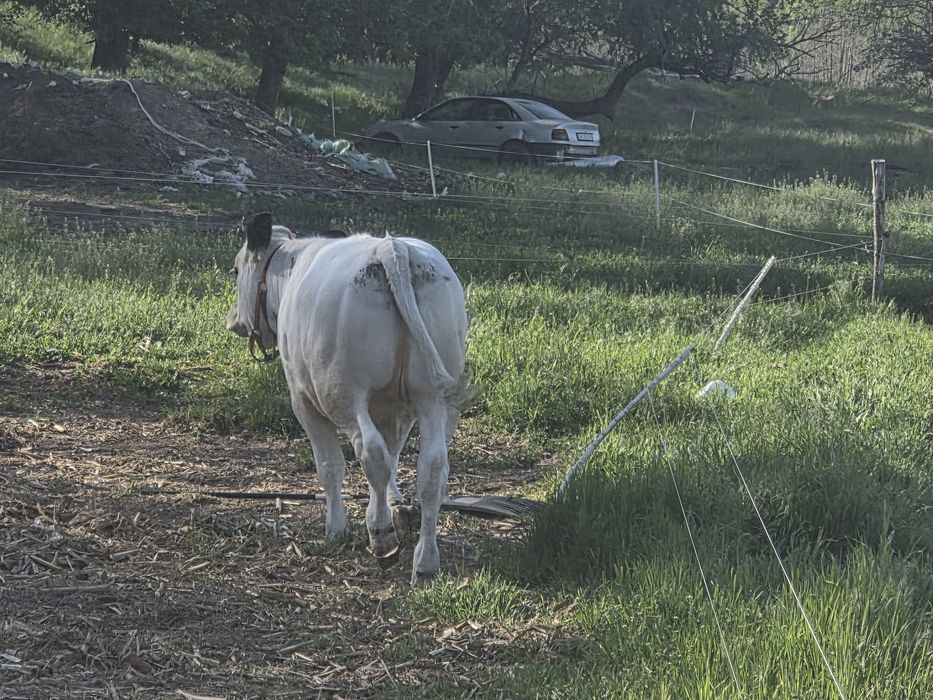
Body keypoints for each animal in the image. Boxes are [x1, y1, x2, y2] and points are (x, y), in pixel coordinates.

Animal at [226, 212, 469, 585]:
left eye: (236, 270)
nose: (233, 321)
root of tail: (391, 248)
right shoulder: (395, 410)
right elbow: (394, 458)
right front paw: (391, 506)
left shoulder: (304, 400)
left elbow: (330, 466)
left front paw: (337, 529)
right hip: (432, 398)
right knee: (432, 469)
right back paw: (424, 560)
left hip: (341, 393)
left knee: (370, 453)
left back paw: (381, 536)